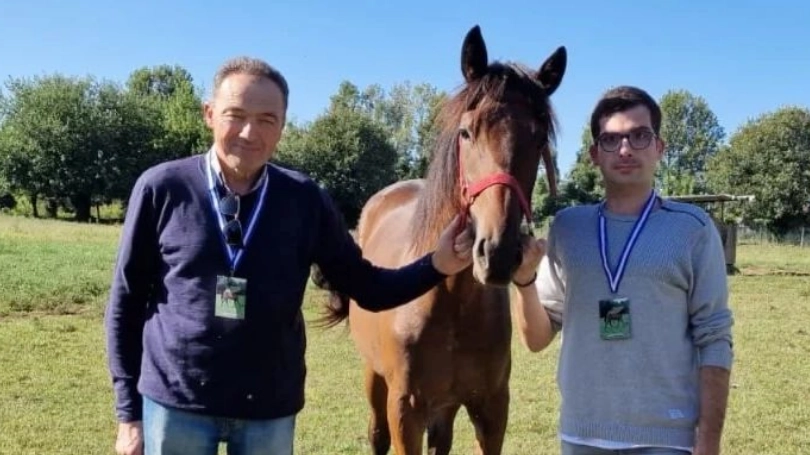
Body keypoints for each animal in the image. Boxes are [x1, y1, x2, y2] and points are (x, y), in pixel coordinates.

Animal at [316, 25, 560, 455]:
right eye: (466, 132)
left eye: (538, 138)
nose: (497, 253)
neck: (452, 298)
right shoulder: (405, 411)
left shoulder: (492, 409)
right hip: (375, 379)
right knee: (376, 434)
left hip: (444, 406)